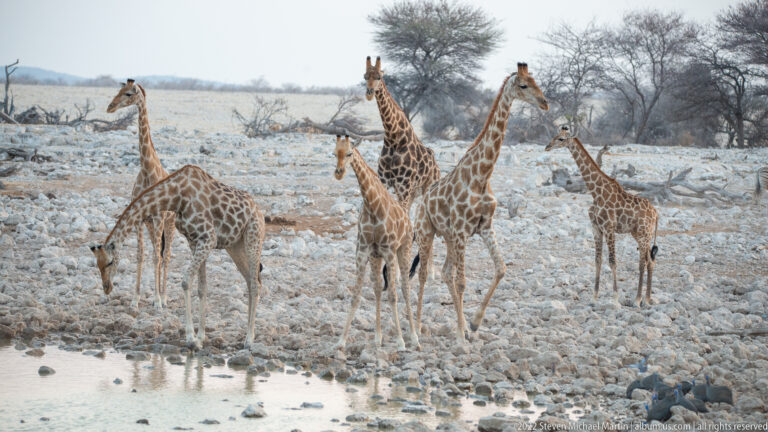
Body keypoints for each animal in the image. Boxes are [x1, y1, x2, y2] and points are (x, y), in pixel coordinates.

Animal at [90, 165, 265, 349]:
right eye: (98, 265)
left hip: (253, 238)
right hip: (235, 246)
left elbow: (186, 281)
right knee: (251, 280)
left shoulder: (209, 238)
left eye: (110, 262)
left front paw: (190, 338)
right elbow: (202, 288)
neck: (176, 196)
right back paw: (247, 335)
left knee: (255, 284)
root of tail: (260, 213)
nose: (106, 287)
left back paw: (249, 340)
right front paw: (200, 337)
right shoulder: (195, 241)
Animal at [107, 79, 175, 310]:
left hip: (169, 223)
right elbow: (140, 255)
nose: (110, 107)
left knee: (165, 255)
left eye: (129, 94)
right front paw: (135, 300)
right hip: (151, 225)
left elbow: (156, 257)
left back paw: (164, 297)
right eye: (118, 90)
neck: (147, 171)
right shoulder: (139, 219)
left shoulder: (159, 217)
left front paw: (157, 301)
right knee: (157, 251)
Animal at [331, 135, 419, 352]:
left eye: (349, 153)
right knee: (378, 289)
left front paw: (400, 341)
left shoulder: (389, 251)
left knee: (405, 289)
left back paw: (414, 337)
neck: (372, 207)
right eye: (334, 153)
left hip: (403, 250)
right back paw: (378, 337)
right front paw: (341, 341)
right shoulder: (363, 252)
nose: (339, 173)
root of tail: (408, 220)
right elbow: (356, 295)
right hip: (376, 257)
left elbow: (393, 295)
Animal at [410, 63, 549, 343]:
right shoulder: (463, 231)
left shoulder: (484, 226)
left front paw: (473, 324)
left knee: (444, 272)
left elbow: (501, 269)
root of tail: (422, 202)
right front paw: (462, 337)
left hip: (449, 237)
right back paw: (418, 328)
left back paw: (460, 325)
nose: (545, 103)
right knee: (424, 275)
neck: (483, 175)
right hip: (427, 232)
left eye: (535, 81)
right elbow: (463, 282)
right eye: (523, 85)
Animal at [545, 126, 660, 306]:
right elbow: (597, 260)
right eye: (555, 135)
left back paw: (637, 299)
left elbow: (612, 261)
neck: (596, 192)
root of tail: (656, 213)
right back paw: (647, 299)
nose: (547, 147)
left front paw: (615, 298)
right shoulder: (596, 228)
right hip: (638, 233)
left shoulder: (609, 227)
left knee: (643, 262)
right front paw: (594, 297)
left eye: (561, 139)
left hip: (644, 234)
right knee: (650, 260)